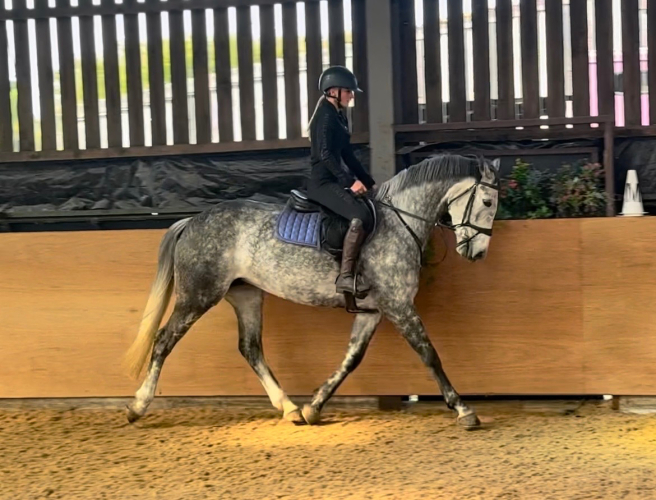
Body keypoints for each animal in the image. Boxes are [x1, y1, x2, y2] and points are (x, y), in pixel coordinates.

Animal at [123, 153, 501, 429]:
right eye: (486, 202)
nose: (478, 253)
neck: (399, 221)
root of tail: (193, 220)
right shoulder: (398, 304)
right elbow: (428, 353)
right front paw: (464, 410)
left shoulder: (375, 309)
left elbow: (351, 358)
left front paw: (313, 407)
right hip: (198, 296)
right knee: (164, 340)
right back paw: (138, 406)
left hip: (246, 295)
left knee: (250, 348)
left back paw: (289, 408)